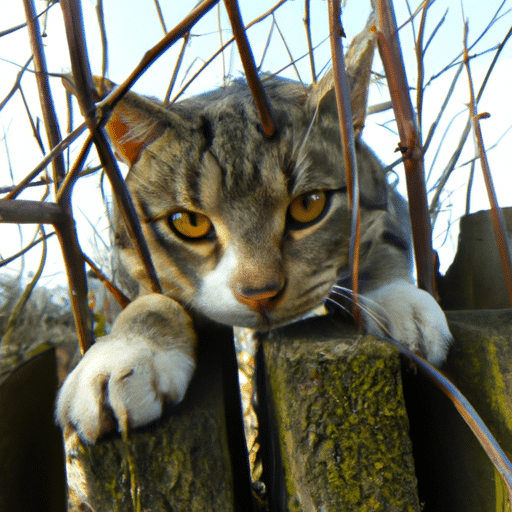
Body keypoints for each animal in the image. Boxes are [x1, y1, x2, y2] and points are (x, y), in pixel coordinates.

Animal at [56, 73, 452, 444]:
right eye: (189, 223)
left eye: (310, 205)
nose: (259, 292)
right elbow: (152, 302)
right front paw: (123, 356)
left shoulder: (386, 197)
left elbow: (385, 242)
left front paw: (399, 303)